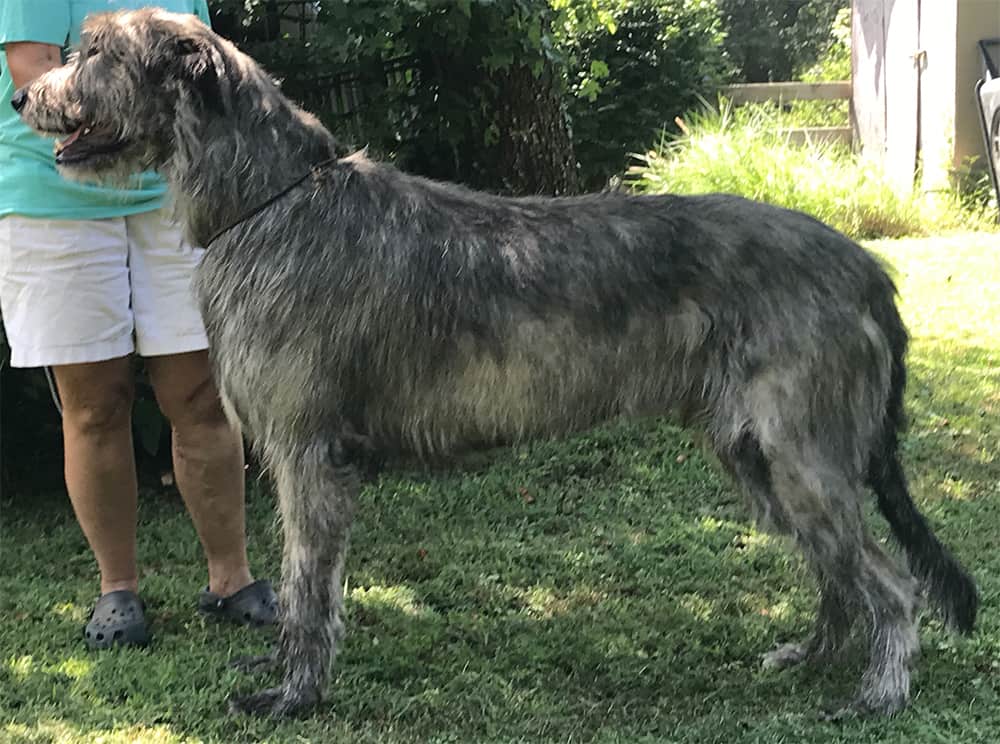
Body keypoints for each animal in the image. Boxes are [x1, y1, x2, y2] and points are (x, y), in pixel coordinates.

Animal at [15, 7, 980, 720]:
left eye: (95, 52)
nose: (23, 95)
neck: (269, 201)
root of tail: (863, 265)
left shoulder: (307, 454)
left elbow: (305, 587)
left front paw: (294, 695)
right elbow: (304, 590)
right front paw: (287, 676)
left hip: (802, 455)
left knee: (888, 584)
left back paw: (878, 694)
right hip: (760, 458)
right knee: (839, 575)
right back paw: (813, 656)